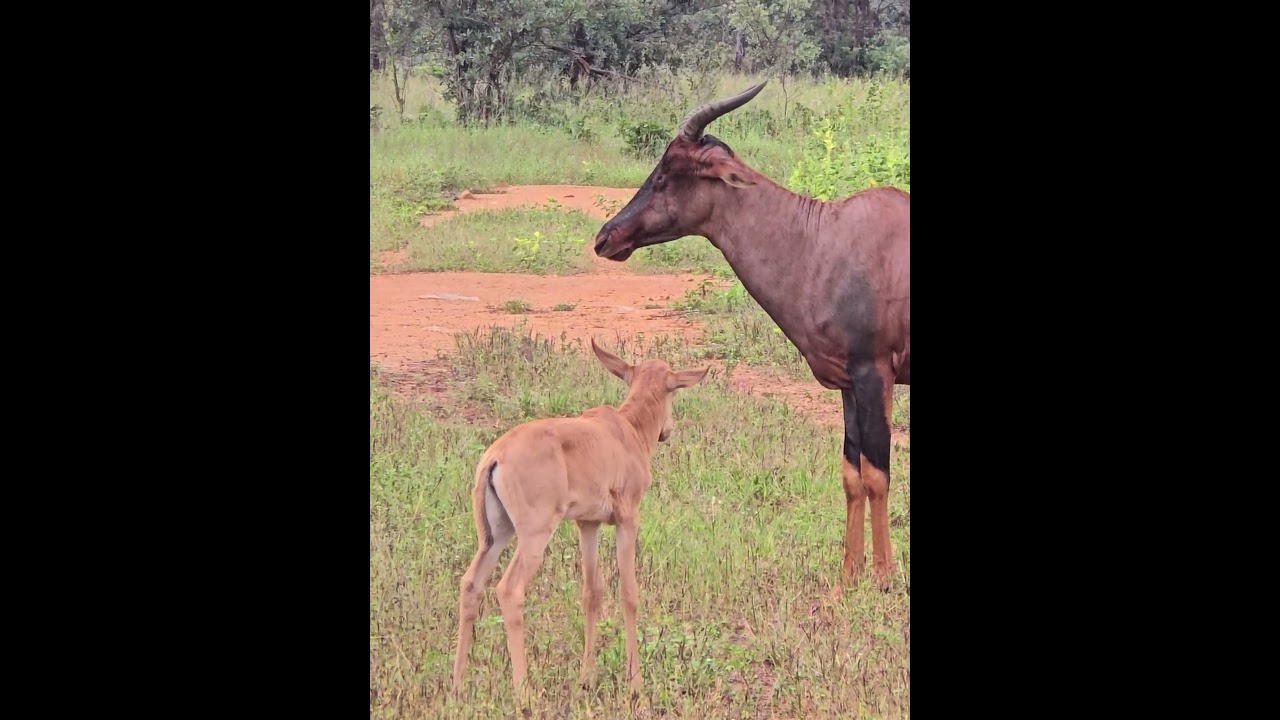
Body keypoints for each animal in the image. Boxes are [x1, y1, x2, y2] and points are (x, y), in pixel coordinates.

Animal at [451, 340, 709, 695]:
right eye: (674, 390)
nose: (666, 432)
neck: (624, 431)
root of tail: (495, 457)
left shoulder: (588, 523)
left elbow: (592, 592)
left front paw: (586, 677)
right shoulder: (627, 519)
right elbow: (628, 593)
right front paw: (635, 682)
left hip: (495, 535)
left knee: (471, 583)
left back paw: (457, 685)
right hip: (534, 535)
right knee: (509, 590)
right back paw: (523, 691)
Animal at [592, 81, 909, 592]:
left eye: (668, 173)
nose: (606, 238)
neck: (826, 241)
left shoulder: (875, 373)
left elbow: (878, 473)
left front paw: (881, 578)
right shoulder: (848, 385)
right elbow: (851, 474)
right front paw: (848, 576)